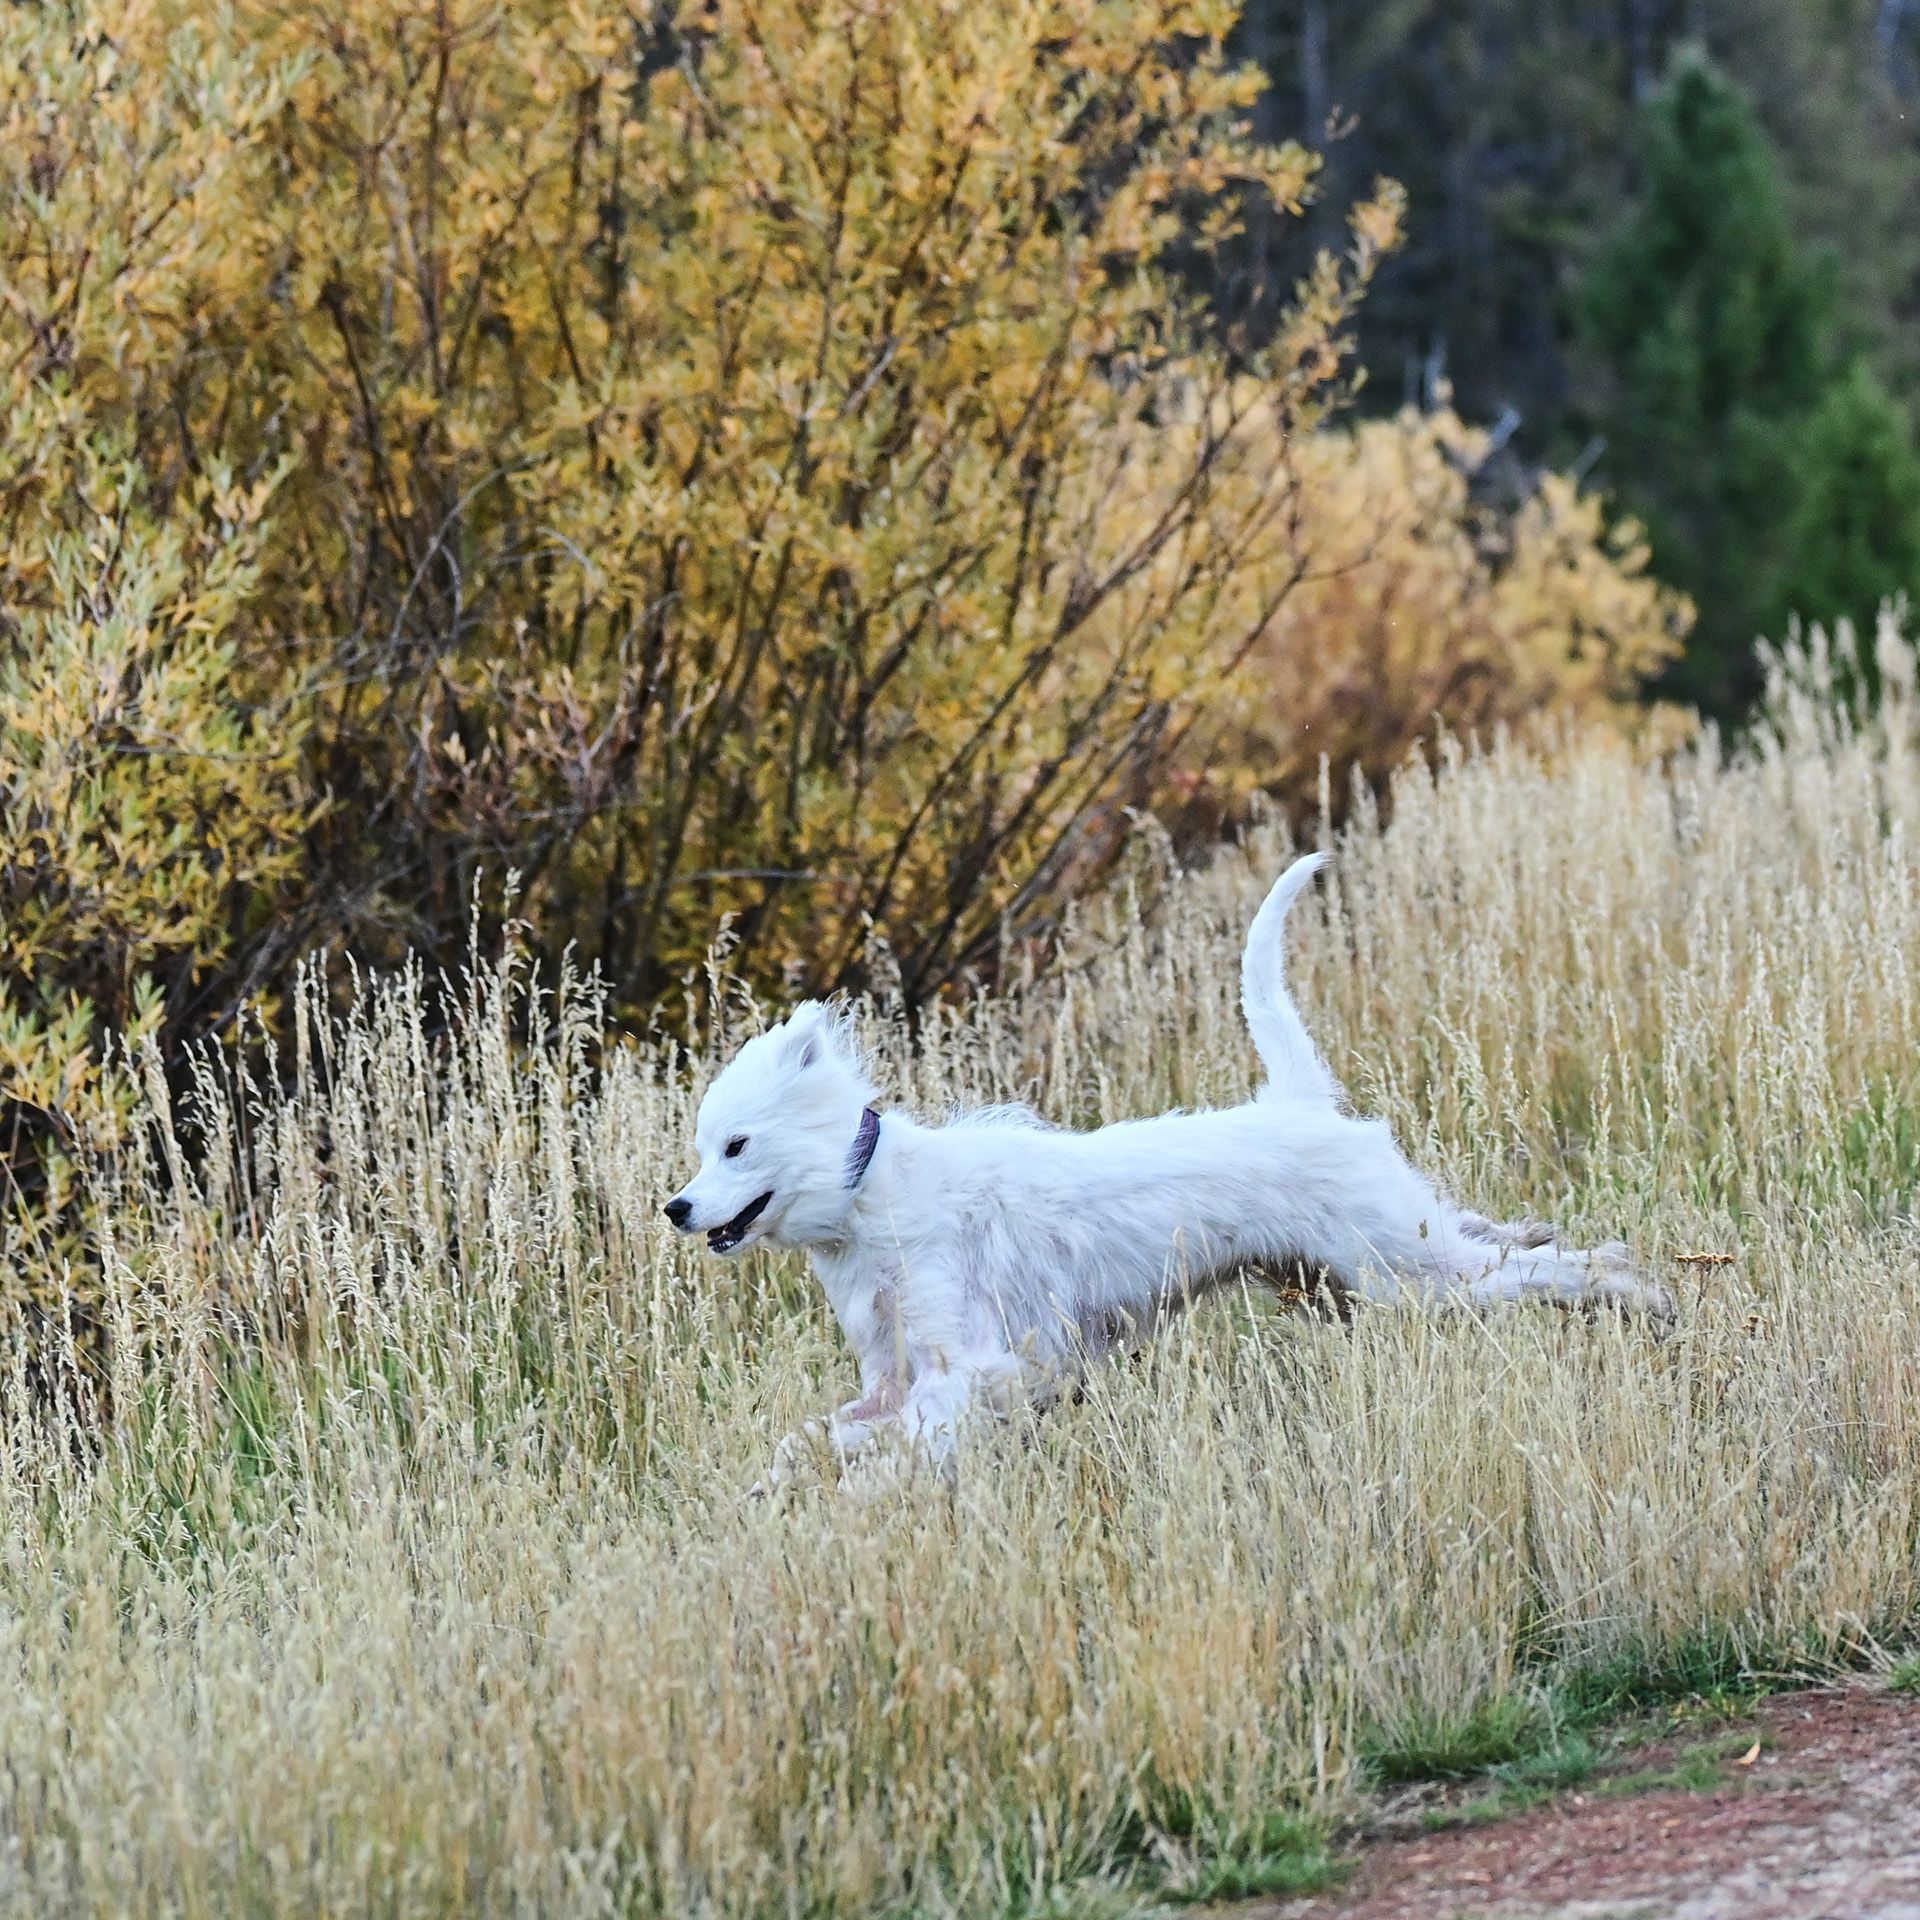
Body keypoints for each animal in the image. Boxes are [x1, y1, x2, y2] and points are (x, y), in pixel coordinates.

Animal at [664, 860, 1666, 1482]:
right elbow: (805, 1441)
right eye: (702, 1146)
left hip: (1407, 1276)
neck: (869, 1196)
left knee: (1567, 1267)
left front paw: (865, 1499)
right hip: (1367, 1274)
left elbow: (907, 1446)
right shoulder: (890, 1378)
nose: (675, 1207)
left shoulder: (975, 1368)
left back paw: (1645, 1297)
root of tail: (1299, 1103)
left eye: (737, 1146)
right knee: (1513, 1243)